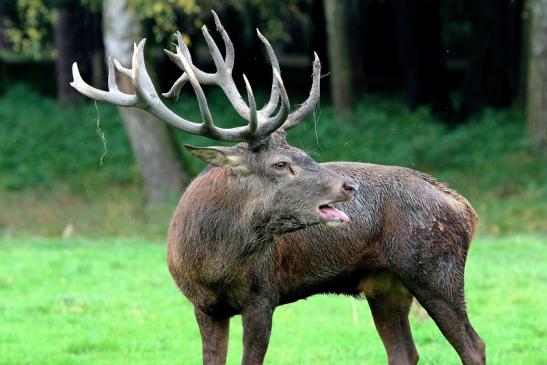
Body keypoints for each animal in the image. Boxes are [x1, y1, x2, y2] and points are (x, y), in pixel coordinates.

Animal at [70, 10, 486, 364]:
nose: (349, 186)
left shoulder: (262, 294)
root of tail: (465, 207)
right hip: (385, 284)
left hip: (435, 270)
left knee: (473, 344)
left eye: (305, 153)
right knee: (405, 351)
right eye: (281, 164)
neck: (213, 261)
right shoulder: (203, 305)